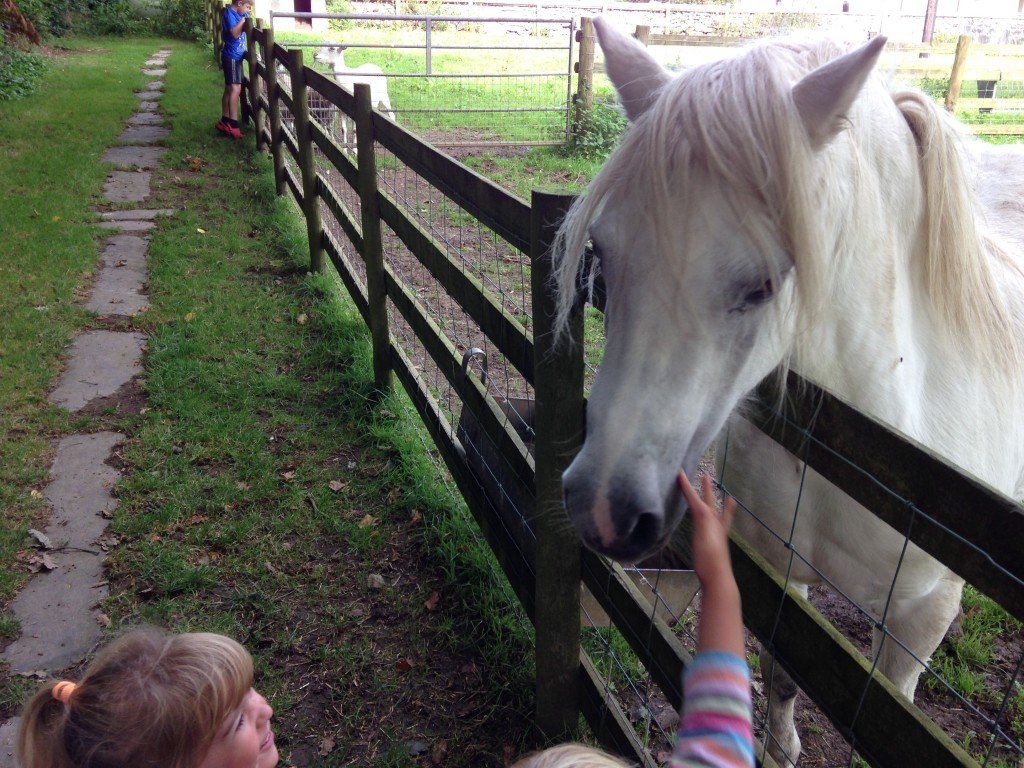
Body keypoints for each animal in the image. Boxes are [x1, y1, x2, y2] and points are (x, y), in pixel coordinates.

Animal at [557, 19, 1024, 768]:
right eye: (602, 251)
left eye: (763, 284)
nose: (603, 510)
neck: (882, 460)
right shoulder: (780, 571)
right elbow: (780, 674)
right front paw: (781, 746)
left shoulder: (918, 620)